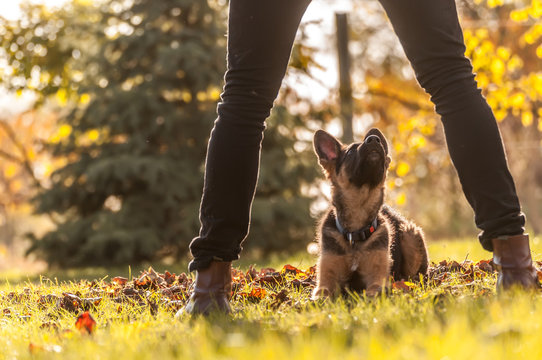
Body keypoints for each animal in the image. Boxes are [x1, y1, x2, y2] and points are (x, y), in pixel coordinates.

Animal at [314, 129, 430, 298]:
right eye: (350, 152)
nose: (374, 140)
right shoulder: (325, 281)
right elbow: (322, 294)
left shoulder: (377, 278)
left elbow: (373, 292)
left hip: (410, 234)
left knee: (416, 275)